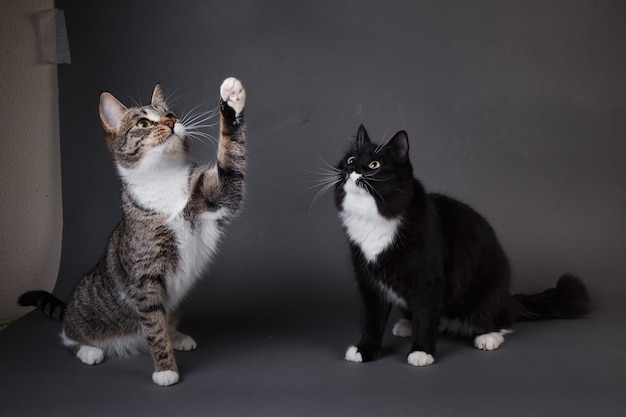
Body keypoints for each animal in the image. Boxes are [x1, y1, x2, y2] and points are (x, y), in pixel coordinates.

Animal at [334, 125, 588, 366]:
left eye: (374, 165)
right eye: (350, 159)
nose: (351, 171)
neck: (374, 216)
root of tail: (507, 297)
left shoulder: (429, 281)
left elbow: (426, 319)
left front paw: (421, 352)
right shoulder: (370, 283)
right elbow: (372, 321)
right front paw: (364, 350)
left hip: (485, 294)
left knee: (502, 320)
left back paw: (488, 336)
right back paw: (406, 324)